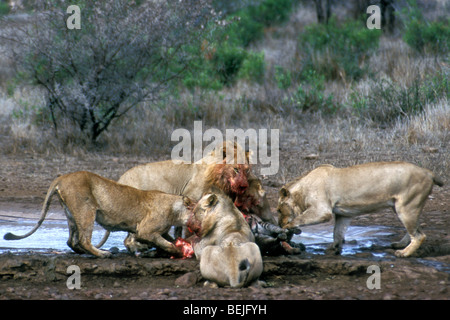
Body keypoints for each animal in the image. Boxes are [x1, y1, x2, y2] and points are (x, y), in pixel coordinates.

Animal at [2, 171, 194, 258]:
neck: (174, 207)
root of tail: (62, 177)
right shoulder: (145, 230)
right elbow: (164, 242)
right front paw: (177, 250)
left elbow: (153, 240)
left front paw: (141, 249)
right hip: (87, 210)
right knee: (83, 240)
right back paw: (103, 253)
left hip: (71, 215)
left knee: (71, 241)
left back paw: (86, 252)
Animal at [278, 162, 442, 258]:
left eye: (279, 210)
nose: (279, 223)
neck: (301, 192)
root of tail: (428, 172)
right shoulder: (343, 214)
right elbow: (337, 232)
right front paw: (334, 248)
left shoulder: (322, 211)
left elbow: (300, 218)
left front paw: (286, 227)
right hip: (403, 208)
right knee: (415, 230)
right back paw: (400, 245)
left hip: (406, 207)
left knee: (420, 235)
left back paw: (403, 253)